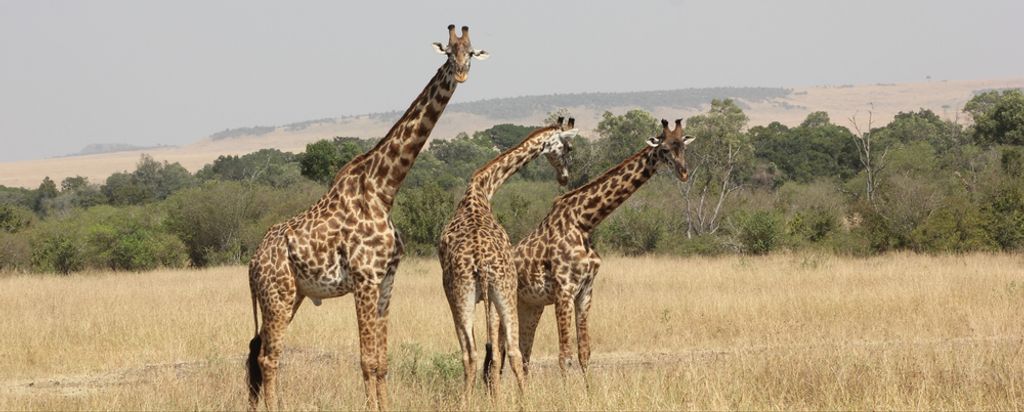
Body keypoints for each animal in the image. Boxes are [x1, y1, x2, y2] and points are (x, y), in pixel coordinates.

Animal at [245, 25, 488, 411]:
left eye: (472, 51)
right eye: (449, 54)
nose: (462, 73)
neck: (383, 189)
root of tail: (252, 263)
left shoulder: (387, 280)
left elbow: (382, 360)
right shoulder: (364, 278)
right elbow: (366, 359)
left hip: (292, 295)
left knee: (261, 352)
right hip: (277, 294)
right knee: (268, 357)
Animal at [438, 117, 578, 404]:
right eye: (568, 148)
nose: (564, 178)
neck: (482, 188)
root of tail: (481, 263)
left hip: (464, 293)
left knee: (471, 353)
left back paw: (467, 401)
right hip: (503, 291)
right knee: (513, 350)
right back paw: (524, 401)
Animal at [511, 119, 696, 377]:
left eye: (683, 147)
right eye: (665, 149)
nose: (683, 173)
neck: (584, 222)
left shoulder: (585, 291)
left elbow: (584, 353)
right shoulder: (563, 291)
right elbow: (565, 356)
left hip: (530, 305)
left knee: (522, 353)